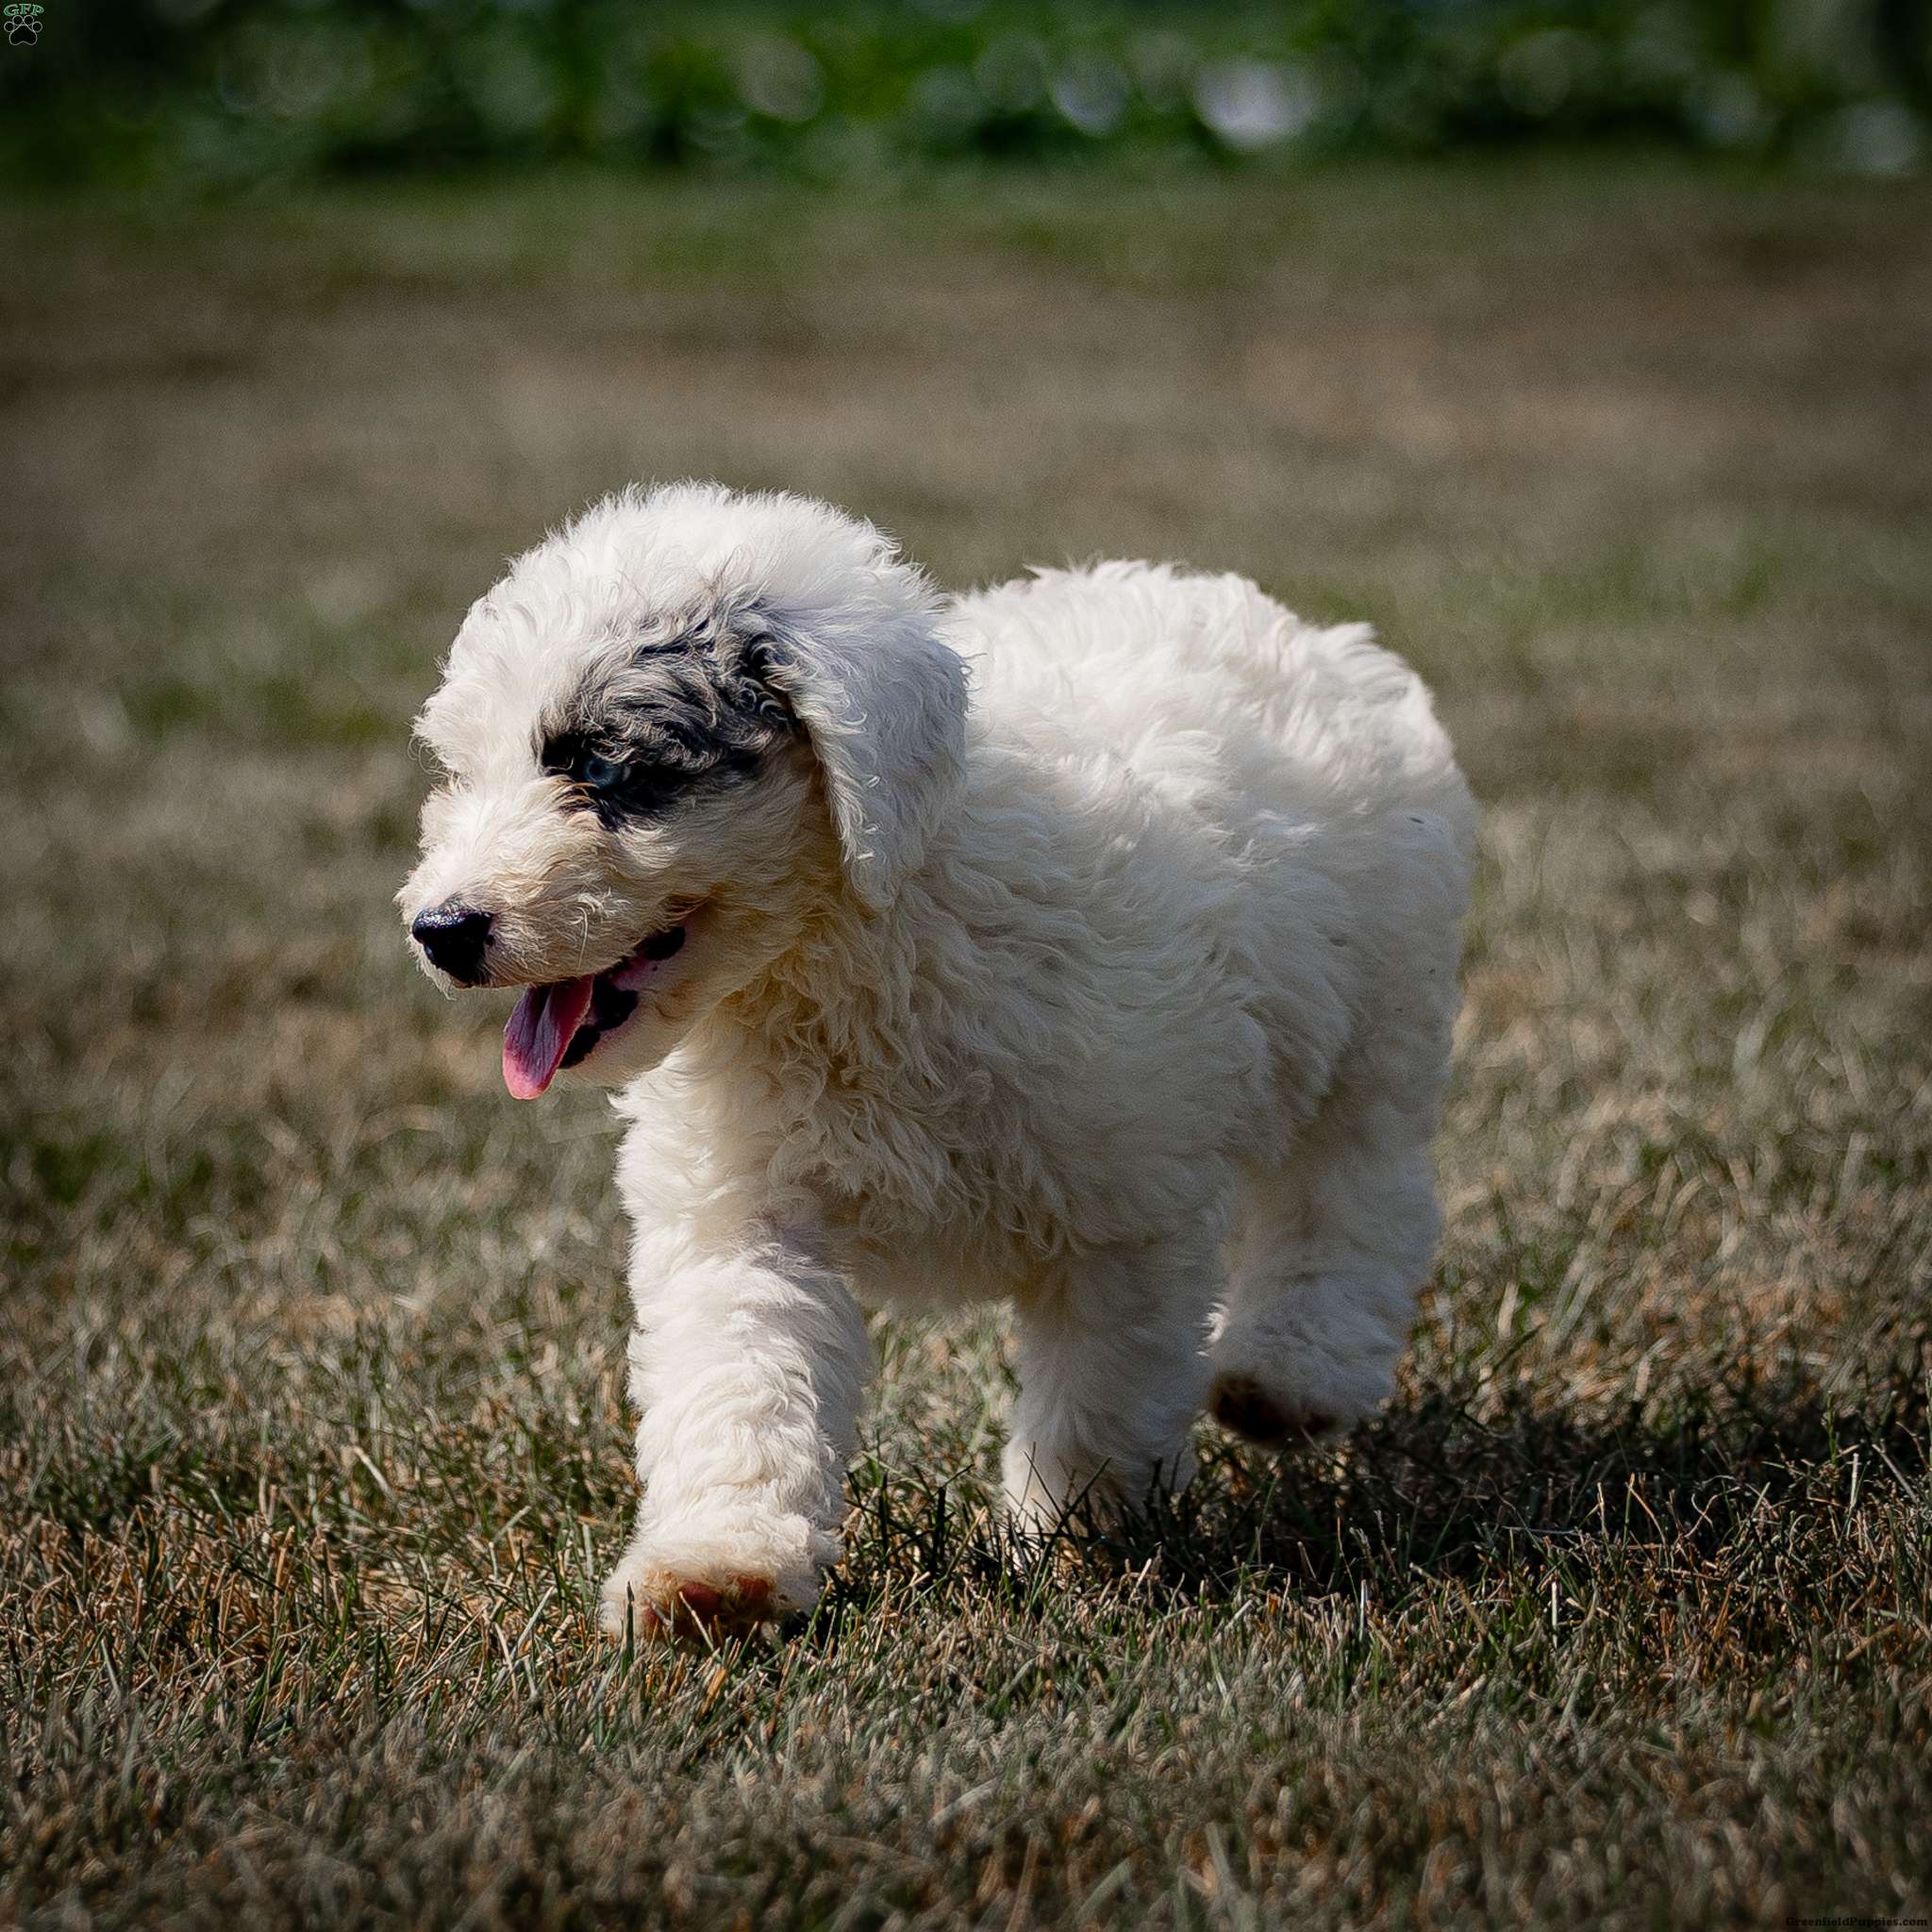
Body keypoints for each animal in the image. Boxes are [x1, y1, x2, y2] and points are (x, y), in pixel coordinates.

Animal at [399, 478, 1468, 1630]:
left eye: (601, 765)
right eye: (461, 773)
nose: (440, 929)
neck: (856, 937)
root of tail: (1300, 632)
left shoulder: (1127, 1211)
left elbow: (1100, 1393)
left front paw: (1073, 1544)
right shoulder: (744, 1215)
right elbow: (742, 1379)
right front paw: (717, 1570)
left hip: (1381, 1020)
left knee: (1354, 1198)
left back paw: (1290, 1378)